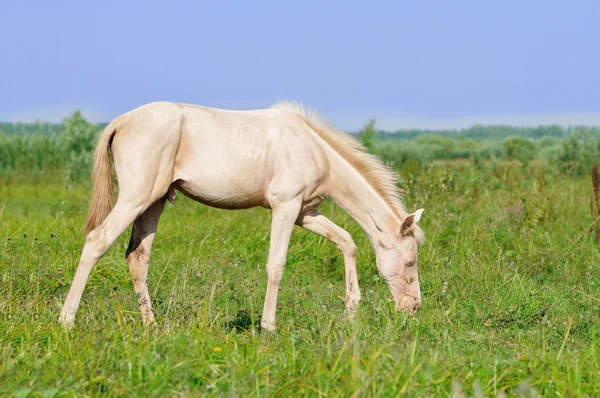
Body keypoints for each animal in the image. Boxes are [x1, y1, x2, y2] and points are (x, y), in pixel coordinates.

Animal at [58, 101, 424, 332]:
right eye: (410, 261)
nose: (414, 307)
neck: (315, 150)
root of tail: (120, 122)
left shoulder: (305, 212)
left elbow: (347, 242)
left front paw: (351, 310)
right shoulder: (285, 207)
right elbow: (276, 265)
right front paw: (268, 327)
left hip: (154, 202)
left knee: (137, 257)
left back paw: (151, 324)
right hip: (136, 199)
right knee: (96, 242)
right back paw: (66, 321)